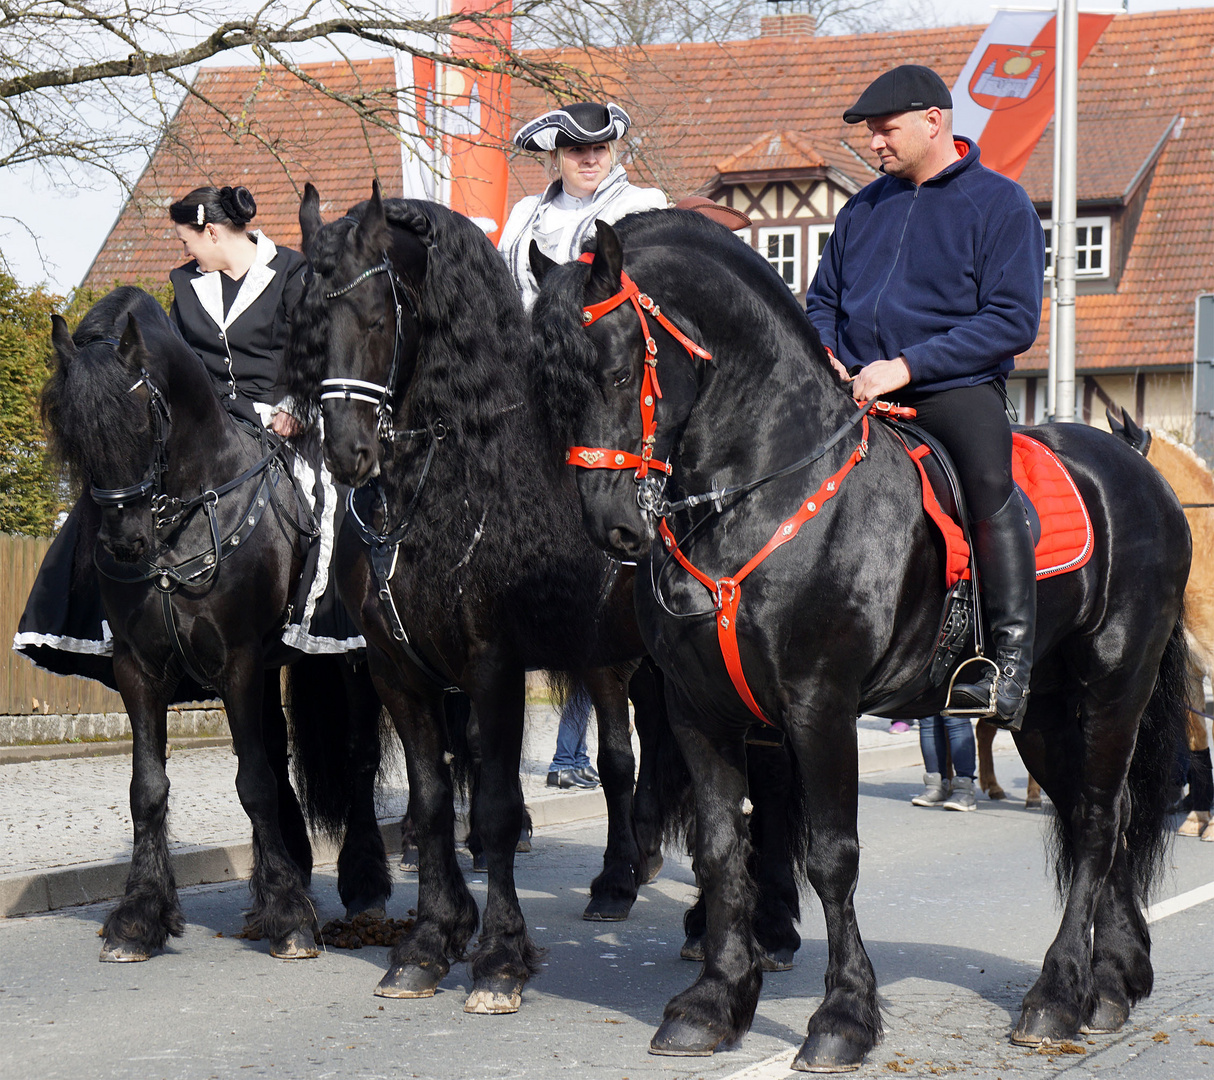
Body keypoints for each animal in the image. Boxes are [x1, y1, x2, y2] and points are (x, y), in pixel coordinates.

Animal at [44, 288, 388, 961]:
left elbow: (253, 780)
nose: (124, 543)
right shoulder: (138, 667)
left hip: (349, 656)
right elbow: (148, 788)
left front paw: (289, 918)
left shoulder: (240, 661)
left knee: (358, 758)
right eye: (73, 431)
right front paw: (139, 915)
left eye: (143, 418)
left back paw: (362, 886)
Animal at [529, 212, 1184, 1067]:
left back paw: (1056, 996)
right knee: (1085, 821)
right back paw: (1109, 981)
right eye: (550, 387)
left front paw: (842, 1017)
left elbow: (830, 858)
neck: (765, 493)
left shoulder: (820, 706)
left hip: (1112, 689)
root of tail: (1137, 469)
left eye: (613, 372)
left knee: (1103, 822)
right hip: (1042, 711)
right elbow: (719, 847)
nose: (611, 527)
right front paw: (713, 1002)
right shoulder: (698, 709)